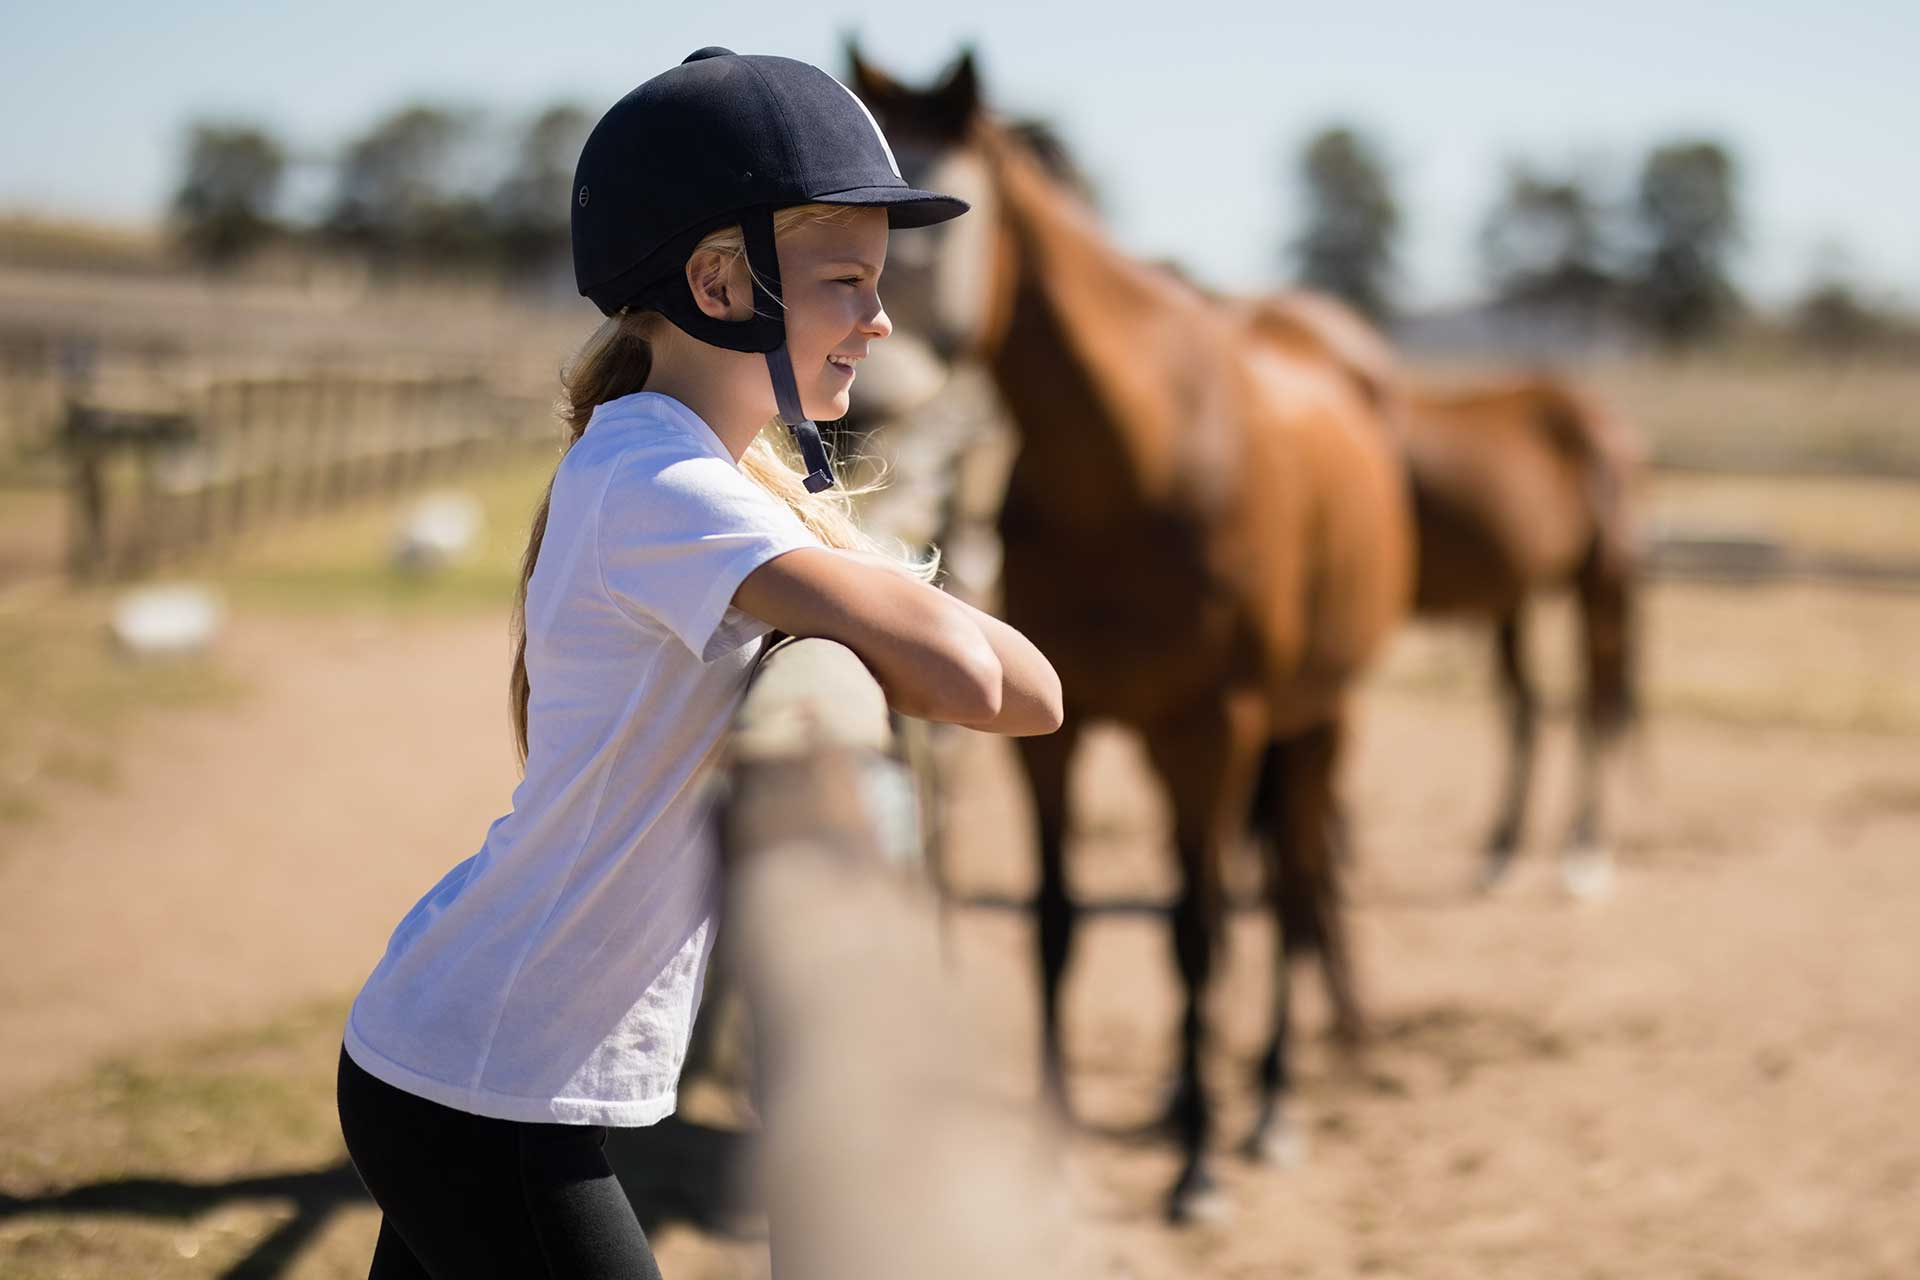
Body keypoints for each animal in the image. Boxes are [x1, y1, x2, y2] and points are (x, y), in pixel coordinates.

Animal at [847, 46, 1415, 1221]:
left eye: (921, 224)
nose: (853, 410)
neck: (1135, 461)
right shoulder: (1057, 741)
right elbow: (1059, 923)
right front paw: (1054, 1149)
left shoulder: (1214, 727)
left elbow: (1196, 932)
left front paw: (1197, 1169)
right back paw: (1179, 1092)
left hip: (1309, 725)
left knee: (1286, 896)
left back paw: (1267, 1110)